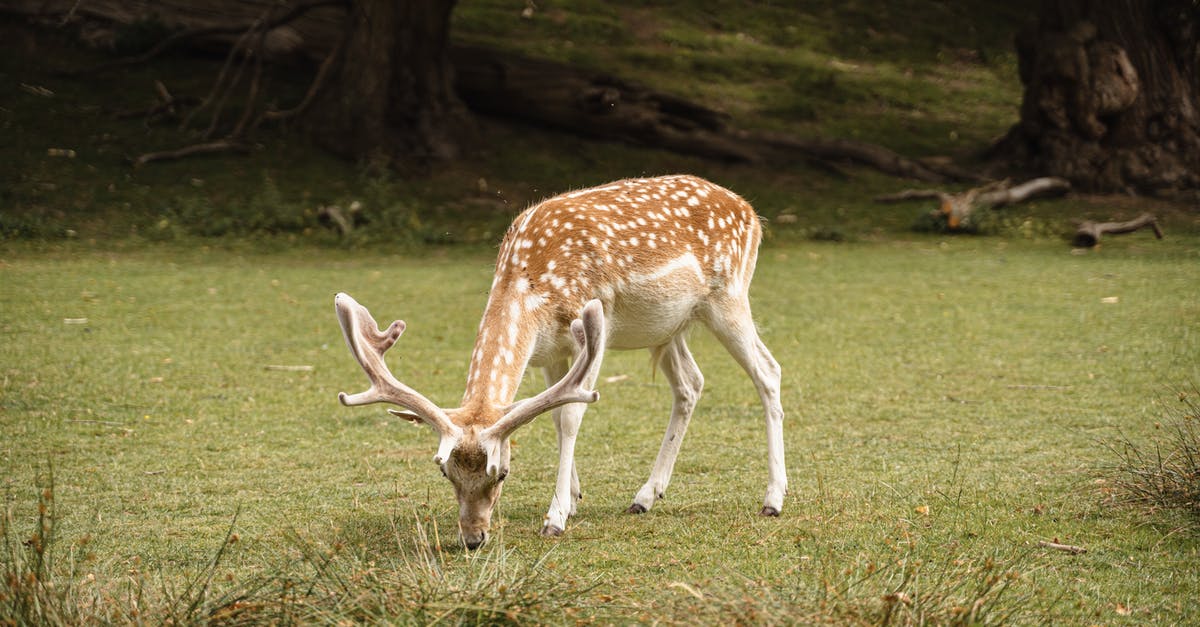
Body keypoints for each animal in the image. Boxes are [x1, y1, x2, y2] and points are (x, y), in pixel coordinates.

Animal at [336, 172, 787, 542]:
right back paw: (645, 495)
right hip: (669, 326)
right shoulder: (550, 352)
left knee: (768, 371)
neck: (529, 280)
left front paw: (555, 518)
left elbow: (571, 416)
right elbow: (553, 417)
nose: (473, 537)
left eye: (502, 472)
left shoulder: (593, 330)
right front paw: (572, 497)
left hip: (728, 295)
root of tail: (750, 211)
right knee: (690, 384)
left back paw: (773, 499)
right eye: (444, 469)